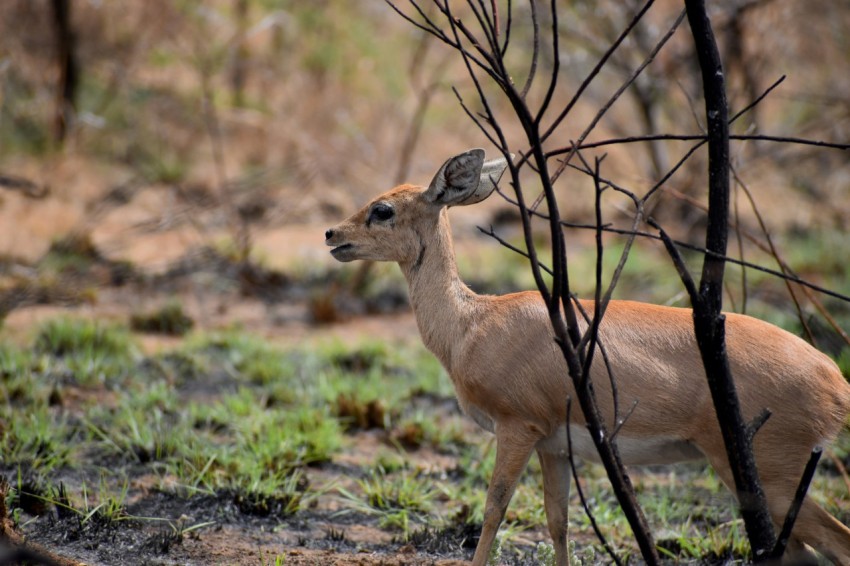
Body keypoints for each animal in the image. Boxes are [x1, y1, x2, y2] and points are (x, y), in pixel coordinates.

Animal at [322, 149, 848, 564]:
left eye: (383, 209)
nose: (330, 235)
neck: (471, 325)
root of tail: (836, 380)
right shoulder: (553, 444)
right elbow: (558, 521)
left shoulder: (516, 427)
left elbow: (494, 509)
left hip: (770, 475)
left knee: (835, 542)